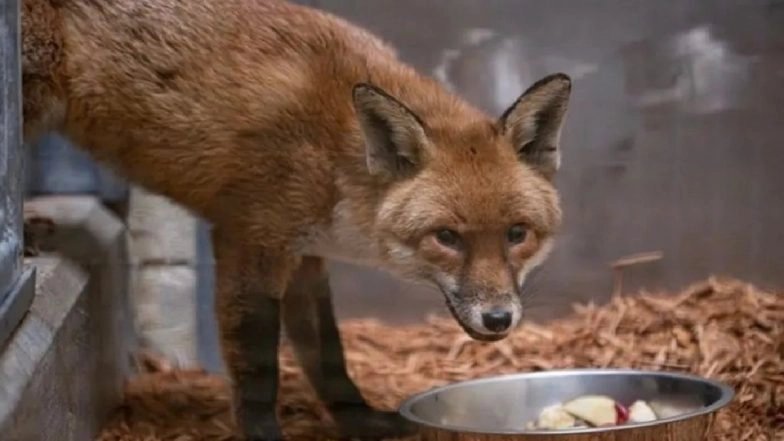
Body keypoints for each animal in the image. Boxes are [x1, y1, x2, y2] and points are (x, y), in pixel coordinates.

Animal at [21, 0, 571, 439]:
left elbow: (328, 356)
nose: (499, 318)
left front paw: (361, 421)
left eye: (517, 234)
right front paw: (264, 433)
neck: (335, 155)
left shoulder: (306, 256)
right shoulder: (250, 241)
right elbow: (258, 366)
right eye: (447, 237)